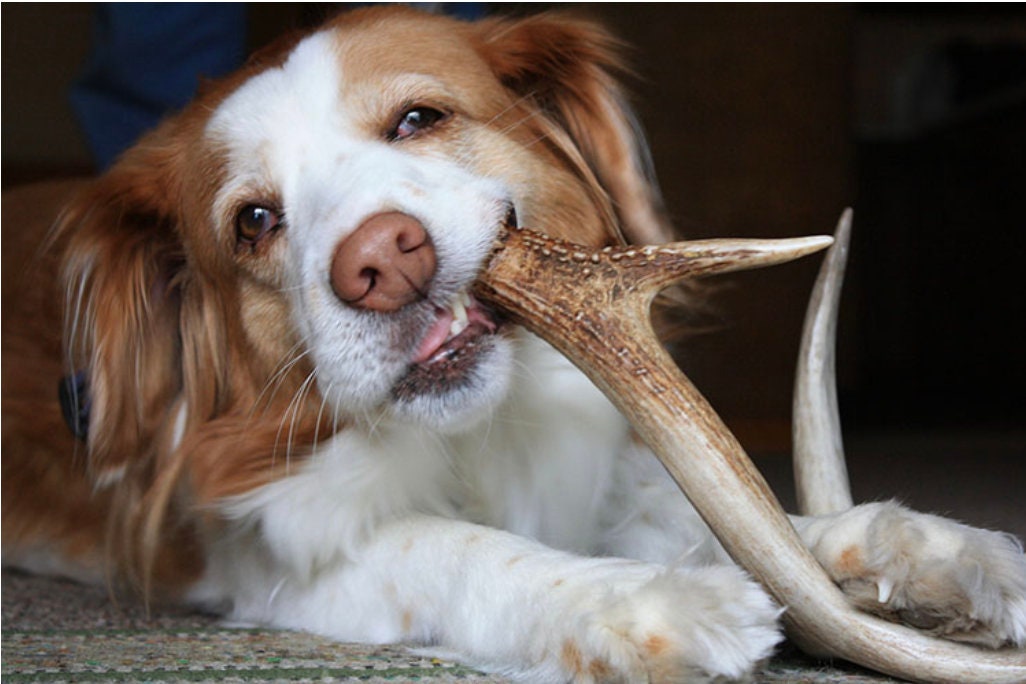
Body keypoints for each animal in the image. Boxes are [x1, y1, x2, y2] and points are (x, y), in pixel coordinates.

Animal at [2, 8, 1026, 680]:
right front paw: (646, 598)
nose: (381, 261)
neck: (480, 433)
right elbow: (456, 547)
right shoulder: (279, 552)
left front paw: (934, 549)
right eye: (254, 221)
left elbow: (747, 522)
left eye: (419, 118)